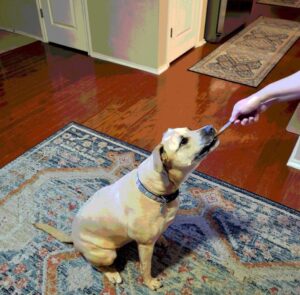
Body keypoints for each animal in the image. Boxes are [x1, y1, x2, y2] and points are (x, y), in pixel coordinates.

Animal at [35, 125, 219, 292]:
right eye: (183, 141)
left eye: (189, 129)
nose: (210, 127)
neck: (156, 191)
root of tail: (73, 237)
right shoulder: (145, 246)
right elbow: (146, 267)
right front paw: (150, 283)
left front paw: (161, 239)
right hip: (107, 254)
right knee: (97, 265)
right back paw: (112, 274)